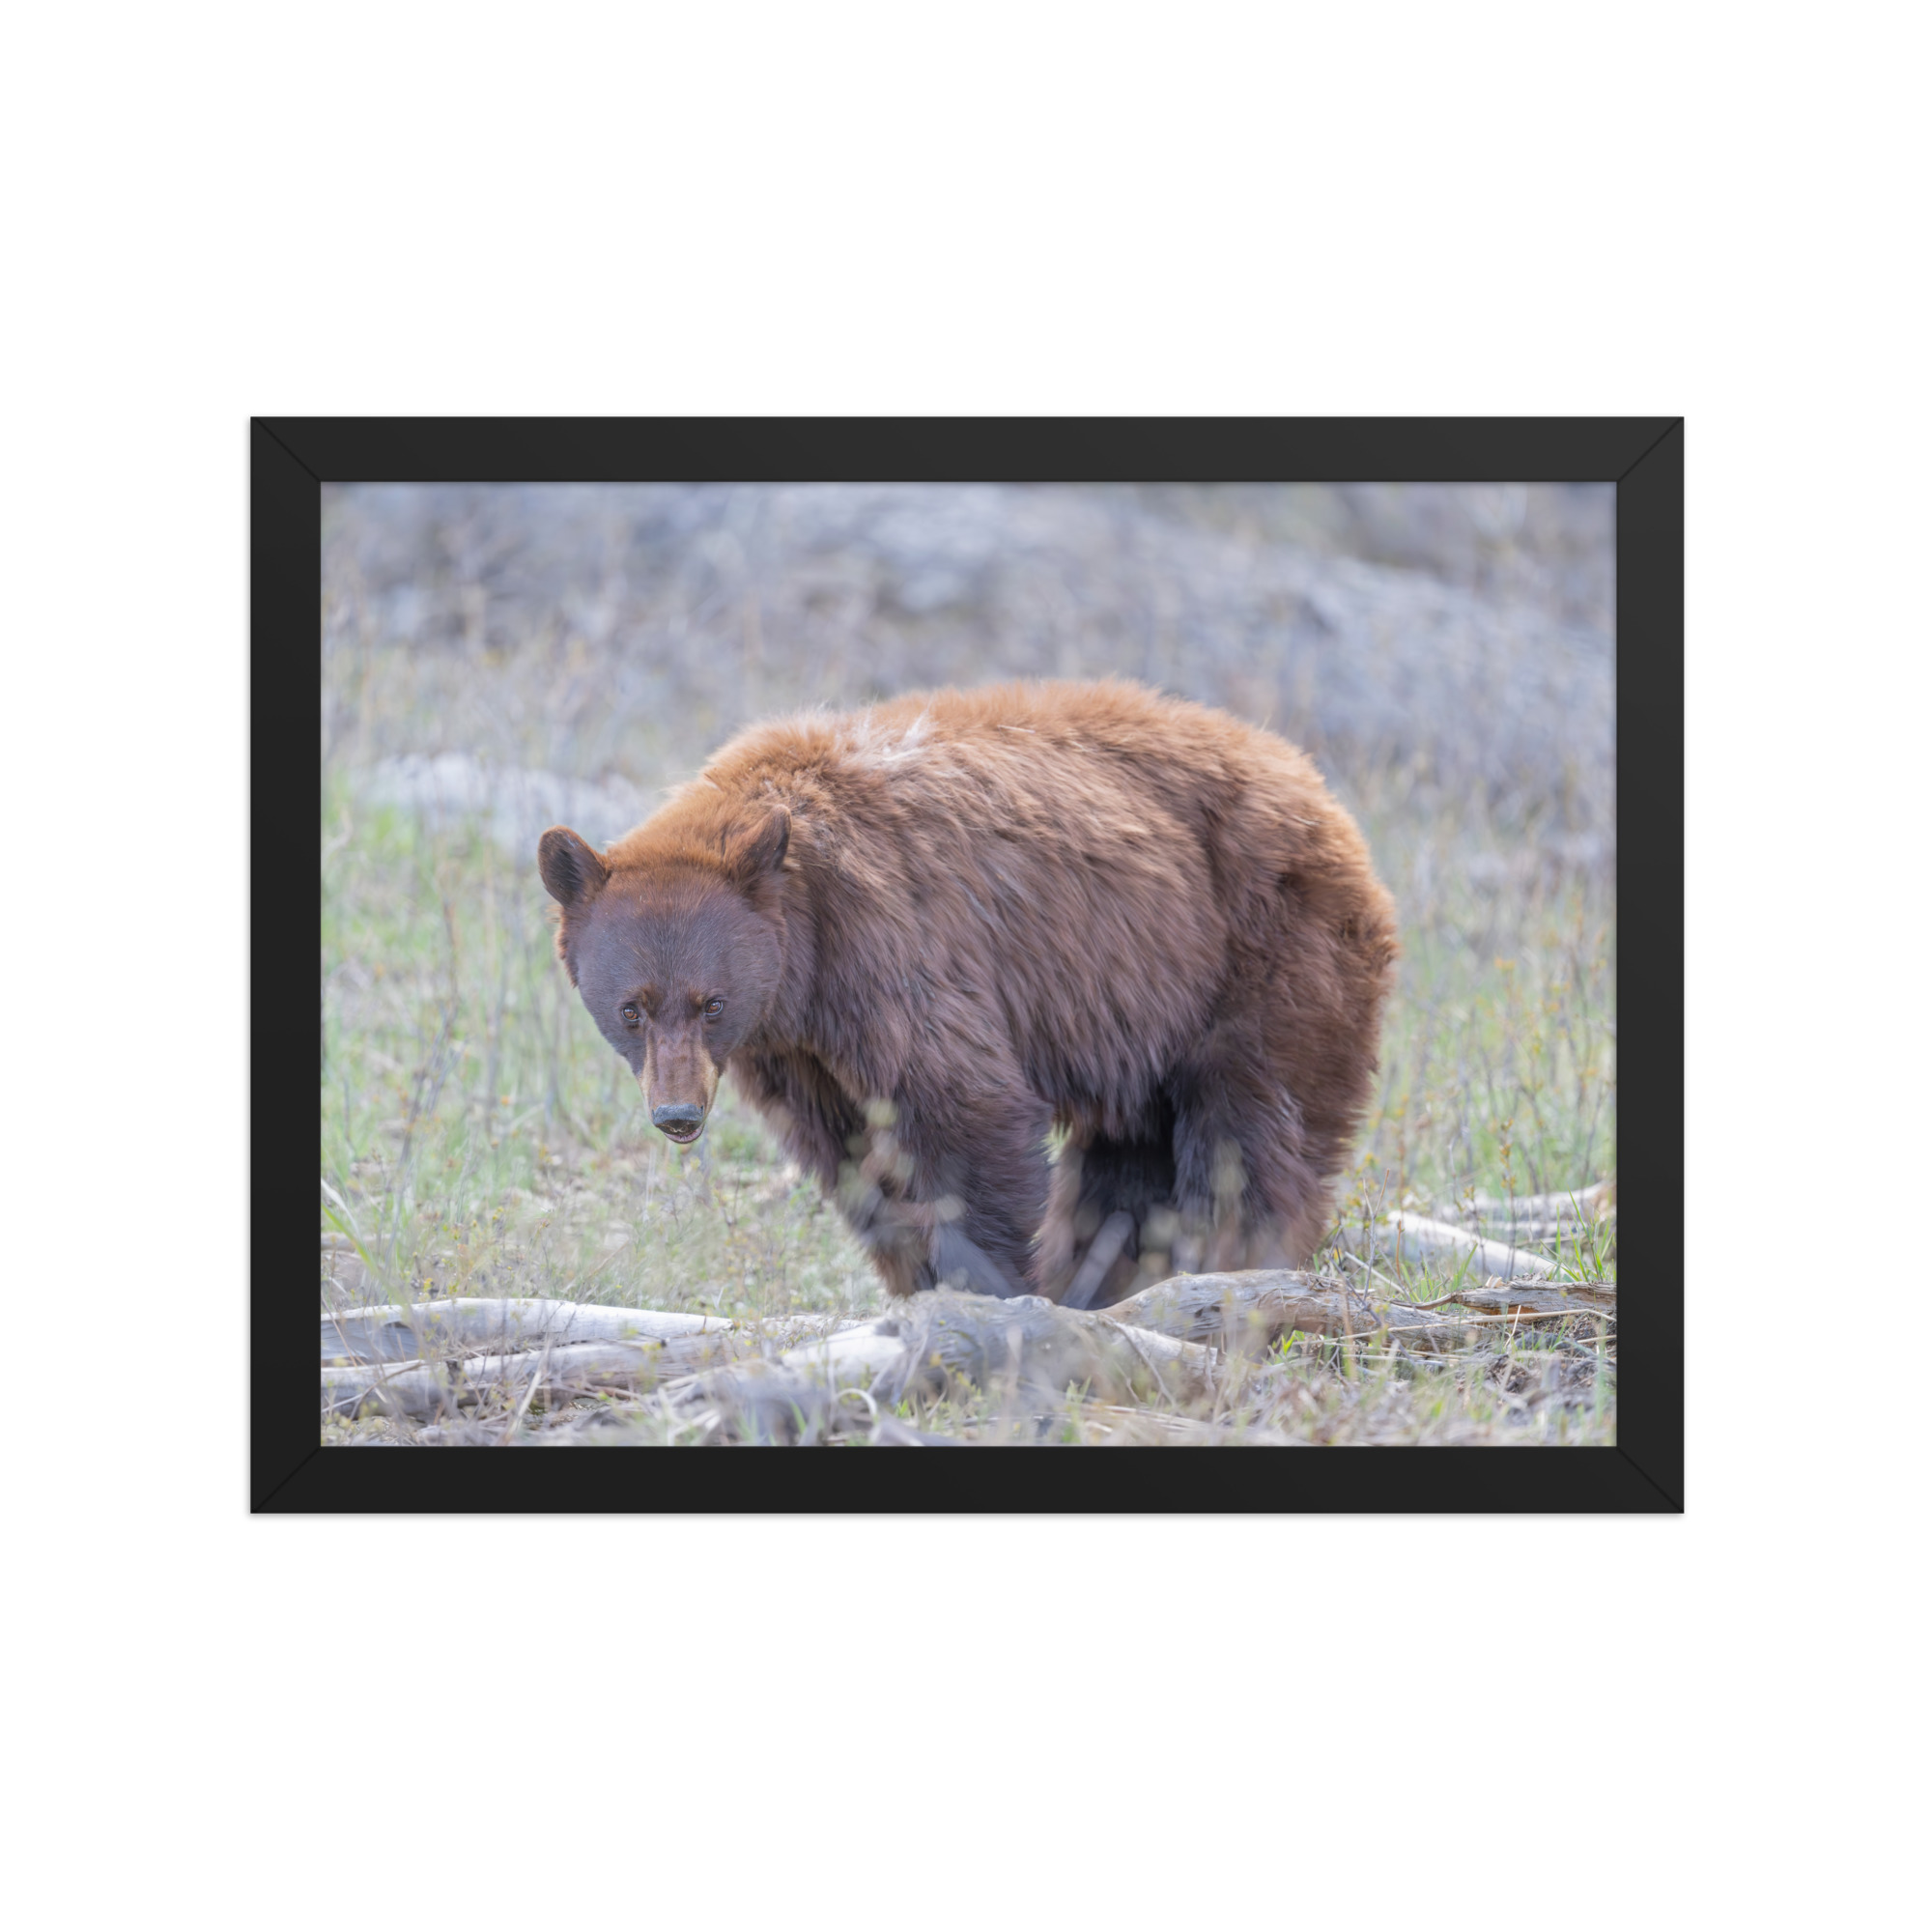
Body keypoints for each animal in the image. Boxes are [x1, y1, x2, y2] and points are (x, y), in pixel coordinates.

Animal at [537, 679, 1398, 1308]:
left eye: (711, 1003)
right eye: (632, 1009)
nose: (678, 1115)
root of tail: (1316, 786)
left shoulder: (893, 948)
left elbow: (963, 1112)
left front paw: (989, 1286)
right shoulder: (796, 1050)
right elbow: (852, 1155)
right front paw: (920, 1282)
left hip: (1262, 950)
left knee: (1250, 1130)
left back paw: (1229, 1263)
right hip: (1147, 1009)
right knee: (1129, 1157)